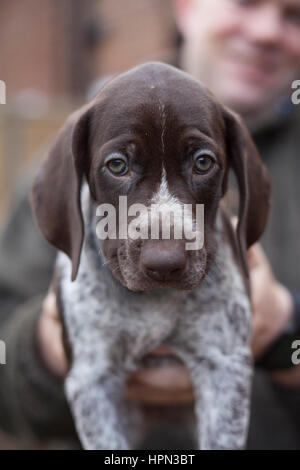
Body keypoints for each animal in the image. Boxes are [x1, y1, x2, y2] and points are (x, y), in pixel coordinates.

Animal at [31, 61, 272, 448]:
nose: (164, 263)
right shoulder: (92, 380)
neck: (153, 303)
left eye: (203, 162)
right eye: (117, 166)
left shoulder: (224, 367)